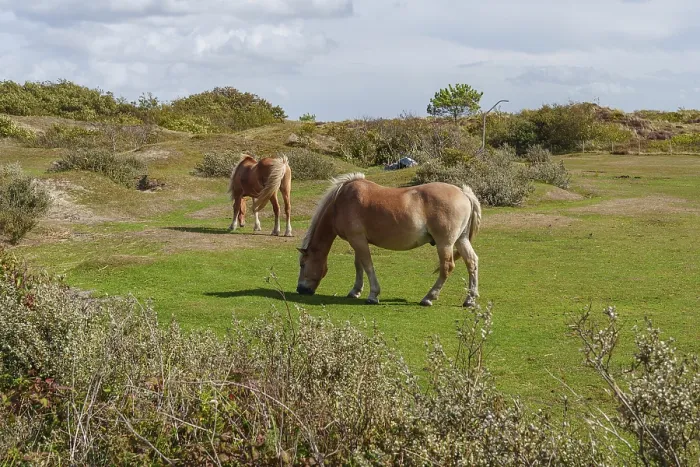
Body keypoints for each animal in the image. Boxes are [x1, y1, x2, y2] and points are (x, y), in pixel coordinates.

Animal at [296, 173, 482, 307]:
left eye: (303, 264)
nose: (300, 289)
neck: (340, 202)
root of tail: (464, 193)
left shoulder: (358, 240)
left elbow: (367, 265)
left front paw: (373, 295)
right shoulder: (357, 240)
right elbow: (359, 265)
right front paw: (355, 291)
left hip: (445, 244)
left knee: (447, 267)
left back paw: (429, 297)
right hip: (461, 240)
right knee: (472, 262)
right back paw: (469, 300)